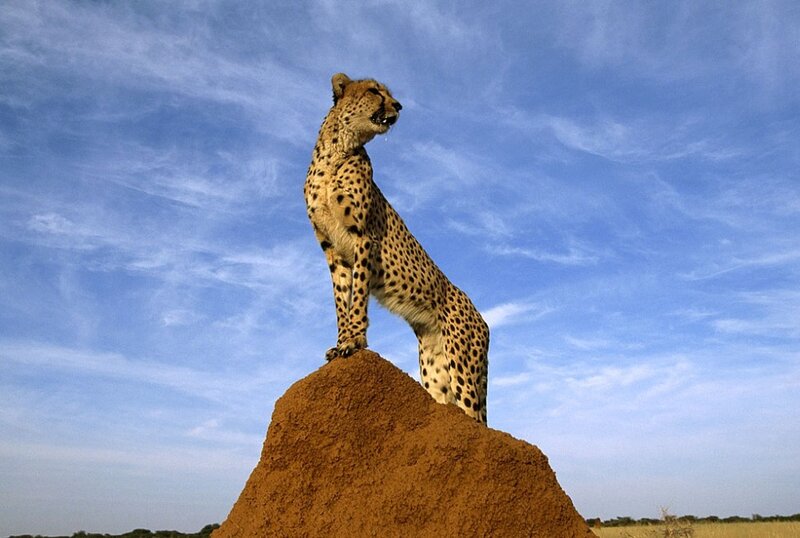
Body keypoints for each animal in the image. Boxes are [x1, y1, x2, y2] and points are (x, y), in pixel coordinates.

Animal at [304, 73, 489, 424]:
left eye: (388, 93)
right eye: (375, 91)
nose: (399, 105)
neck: (338, 150)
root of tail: (481, 317)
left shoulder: (363, 237)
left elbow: (358, 298)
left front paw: (354, 341)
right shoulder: (331, 249)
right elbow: (341, 300)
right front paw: (341, 342)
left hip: (463, 369)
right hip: (435, 371)